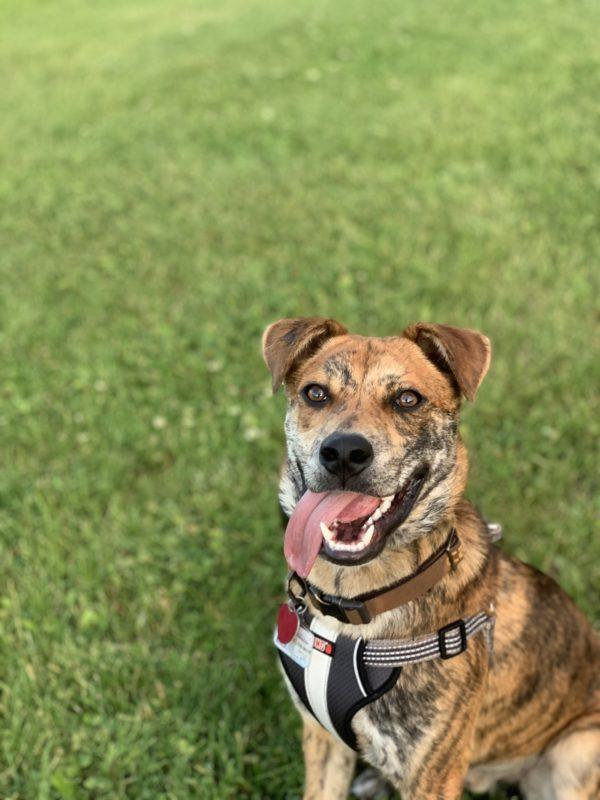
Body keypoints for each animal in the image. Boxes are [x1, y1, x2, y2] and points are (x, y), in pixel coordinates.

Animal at [262, 318, 600, 800]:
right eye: (315, 393)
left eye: (407, 399)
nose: (343, 453)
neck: (354, 606)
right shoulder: (322, 740)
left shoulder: (433, 776)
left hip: (576, 752)